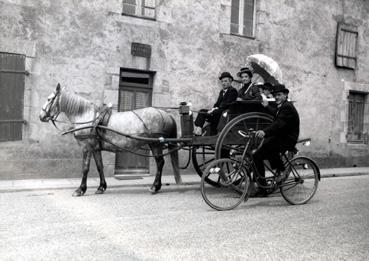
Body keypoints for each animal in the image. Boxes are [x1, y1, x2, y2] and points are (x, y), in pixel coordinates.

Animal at [39, 83, 181, 195]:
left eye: (49, 99)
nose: (41, 116)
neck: (88, 118)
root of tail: (166, 114)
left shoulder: (86, 148)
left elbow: (85, 168)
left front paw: (80, 189)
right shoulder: (95, 149)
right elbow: (99, 167)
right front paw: (101, 187)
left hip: (155, 144)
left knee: (160, 163)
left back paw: (154, 186)